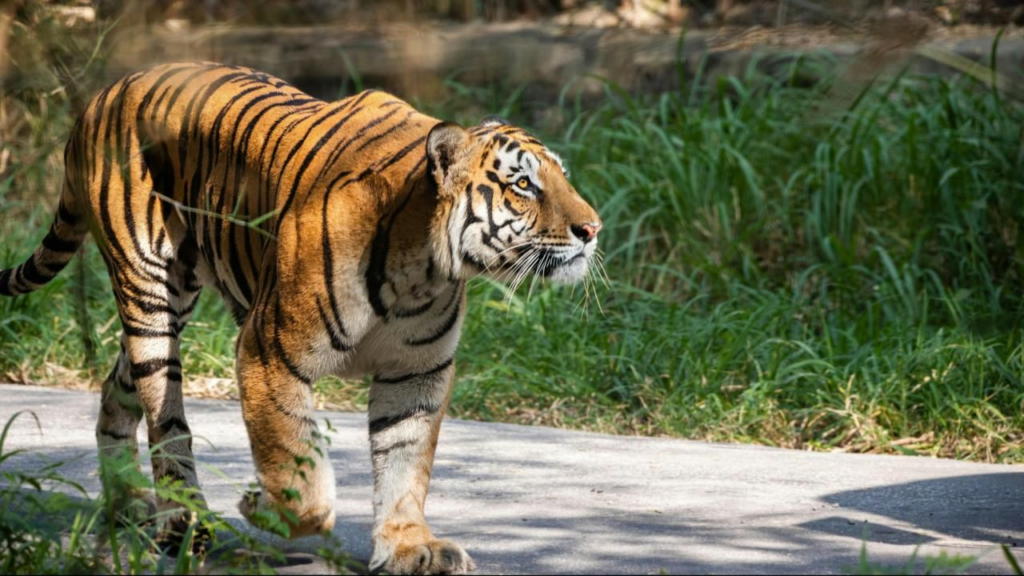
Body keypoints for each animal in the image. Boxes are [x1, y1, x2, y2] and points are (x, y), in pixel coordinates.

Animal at [0, 60, 598, 569]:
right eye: (523, 184)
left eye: (561, 178)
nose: (592, 229)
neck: (423, 268)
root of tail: (103, 94)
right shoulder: (267, 352)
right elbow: (296, 468)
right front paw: (263, 507)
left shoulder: (416, 372)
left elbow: (405, 465)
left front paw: (411, 547)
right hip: (149, 292)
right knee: (165, 418)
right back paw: (182, 525)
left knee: (114, 389)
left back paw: (127, 504)